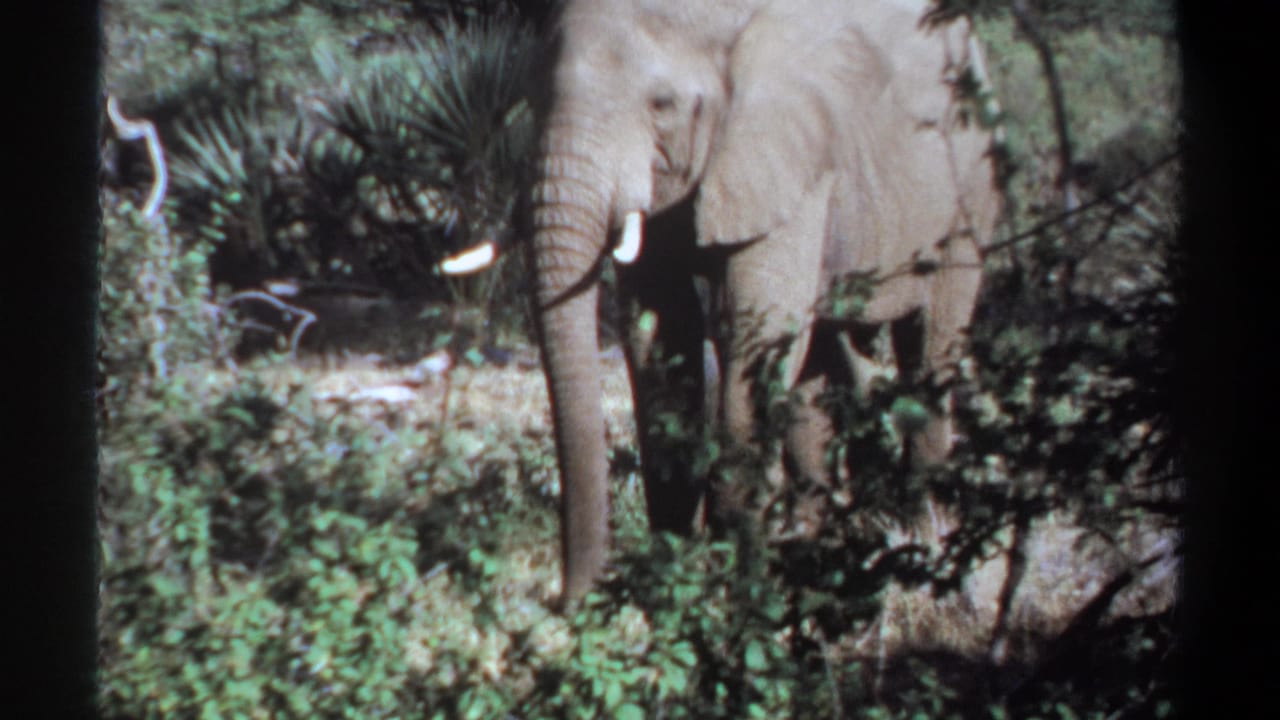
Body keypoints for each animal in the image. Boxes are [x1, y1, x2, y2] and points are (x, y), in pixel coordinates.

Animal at [521, 0, 1002, 602]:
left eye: (662, 105)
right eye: (534, 96)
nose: (569, 602)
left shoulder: (790, 154)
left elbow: (757, 328)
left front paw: (728, 585)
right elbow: (663, 330)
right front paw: (672, 573)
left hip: (969, 185)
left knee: (929, 340)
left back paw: (923, 549)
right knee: (830, 353)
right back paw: (820, 540)